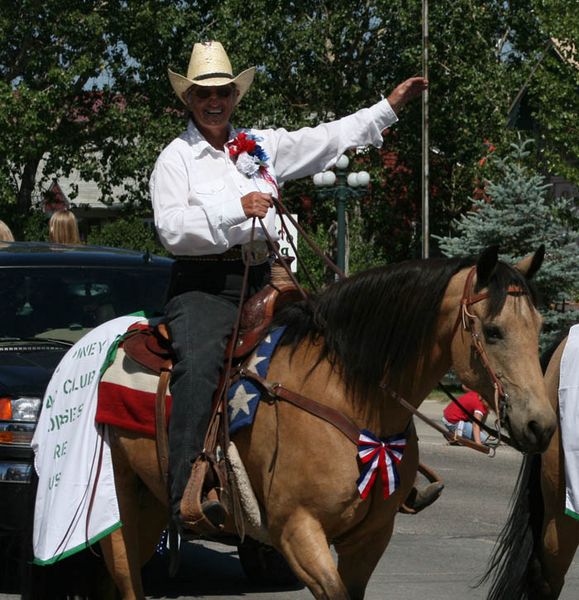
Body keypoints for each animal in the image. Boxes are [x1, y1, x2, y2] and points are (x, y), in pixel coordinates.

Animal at [98, 246, 556, 596]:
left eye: (538, 326)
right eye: (493, 331)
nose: (542, 425)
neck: (349, 399)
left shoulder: (370, 538)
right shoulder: (298, 531)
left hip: (150, 502)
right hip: (118, 505)